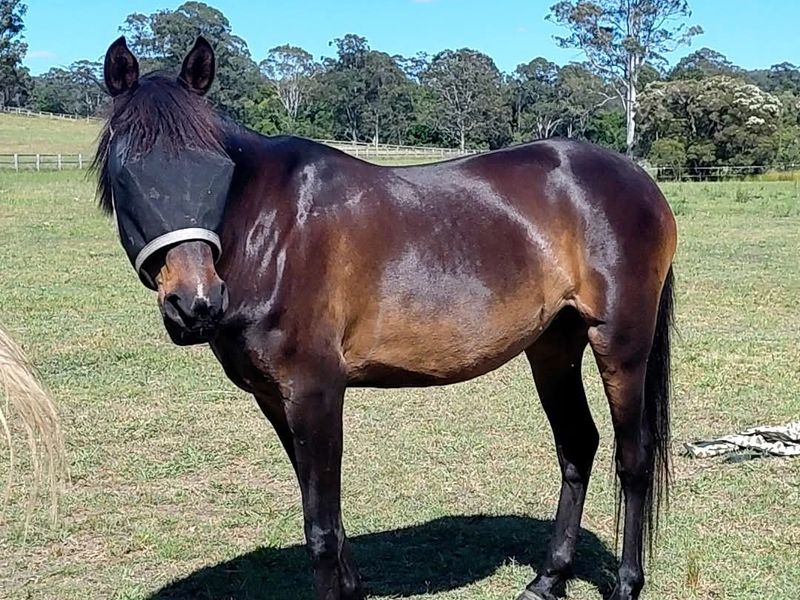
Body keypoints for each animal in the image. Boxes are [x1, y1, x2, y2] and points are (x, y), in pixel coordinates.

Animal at [94, 36, 677, 600]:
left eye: (216, 171)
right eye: (126, 175)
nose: (195, 303)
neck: (272, 232)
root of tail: (638, 180)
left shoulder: (316, 393)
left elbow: (320, 529)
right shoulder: (275, 399)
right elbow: (328, 520)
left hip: (620, 344)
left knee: (633, 457)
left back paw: (627, 584)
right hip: (554, 347)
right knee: (577, 445)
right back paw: (548, 579)